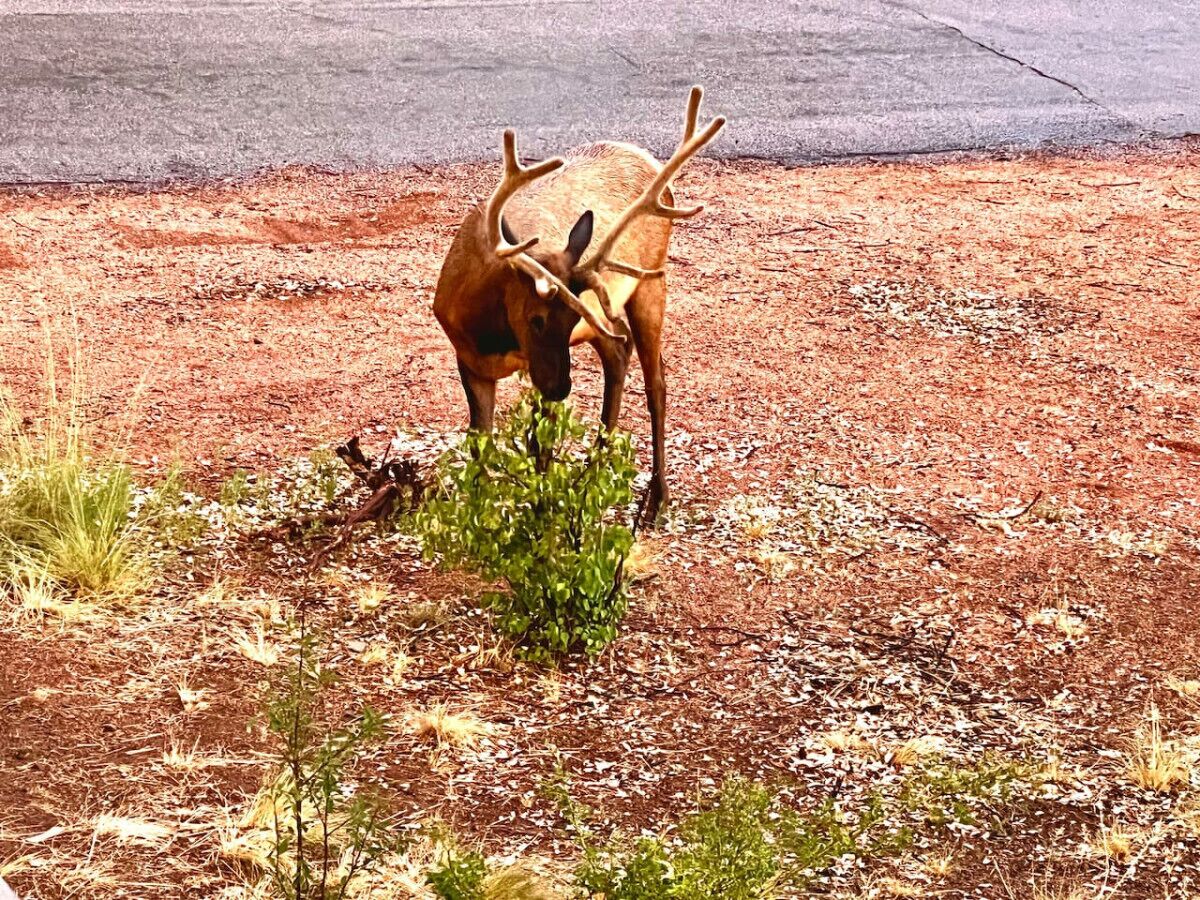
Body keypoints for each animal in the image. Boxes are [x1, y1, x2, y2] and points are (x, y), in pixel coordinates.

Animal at [432, 86, 725, 524]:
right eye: (536, 319)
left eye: (570, 317)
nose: (562, 387)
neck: (492, 332)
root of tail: (649, 160)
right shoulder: (469, 360)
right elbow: (479, 445)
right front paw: (479, 516)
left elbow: (540, 446)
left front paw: (540, 517)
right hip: (609, 315)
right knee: (619, 351)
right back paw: (594, 473)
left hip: (651, 279)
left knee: (656, 381)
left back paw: (657, 498)